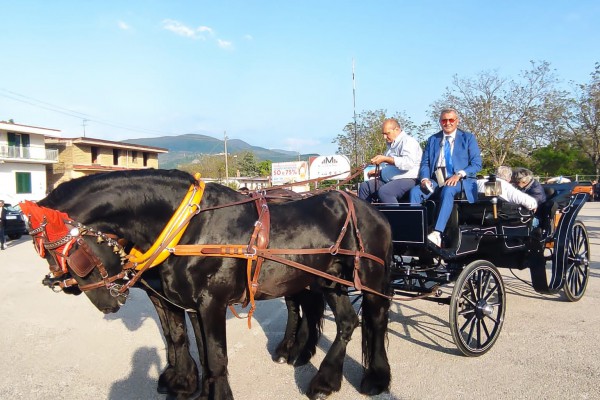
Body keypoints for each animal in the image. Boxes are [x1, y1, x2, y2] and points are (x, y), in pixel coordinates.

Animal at [31, 170, 394, 400]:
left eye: (71, 255)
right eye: (48, 256)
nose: (108, 304)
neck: (187, 227)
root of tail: (369, 209)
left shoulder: (211, 304)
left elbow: (216, 357)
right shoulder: (181, 300)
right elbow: (186, 343)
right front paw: (184, 382)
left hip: (366, 277)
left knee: (374, 317)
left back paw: (373, 377)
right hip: (324, 279)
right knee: (341, 319)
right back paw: (318, 373)